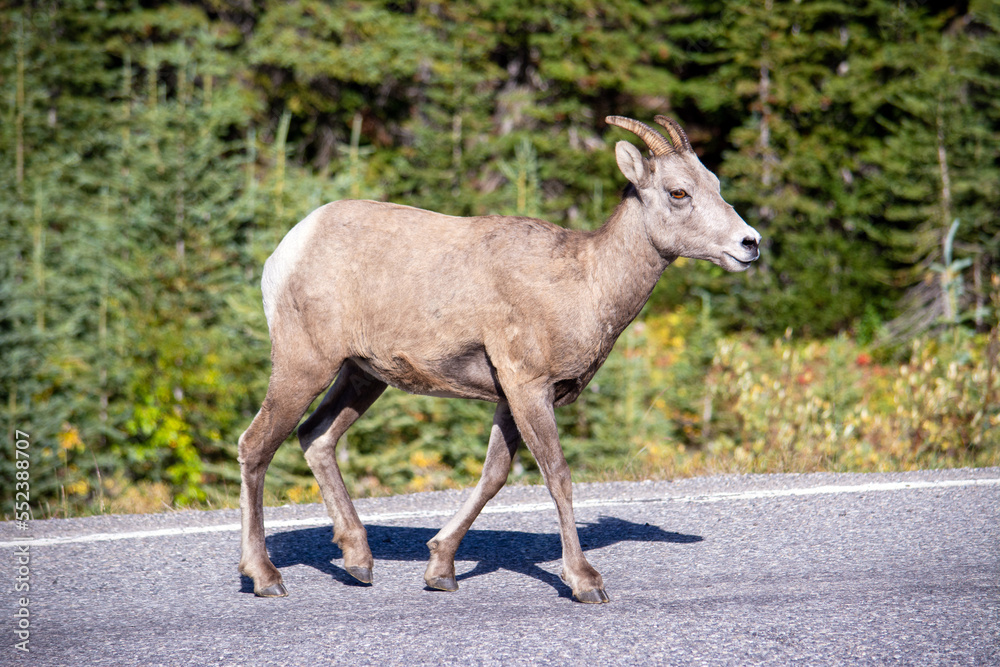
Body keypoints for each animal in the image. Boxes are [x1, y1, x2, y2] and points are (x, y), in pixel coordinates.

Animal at [240, 116, 756, 604]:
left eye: (714, 183)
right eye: (678, 192)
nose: (749, 243)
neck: (586, 284)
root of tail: (288, 250)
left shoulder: (508, 398)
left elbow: (494, 476)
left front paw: (441, 571)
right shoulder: (528, 387)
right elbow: (558, 476)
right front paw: (585, 582)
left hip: (362, 375)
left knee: (317, 437)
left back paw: (359, 563)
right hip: (304, 366)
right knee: (256, 445)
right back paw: (266, 578)